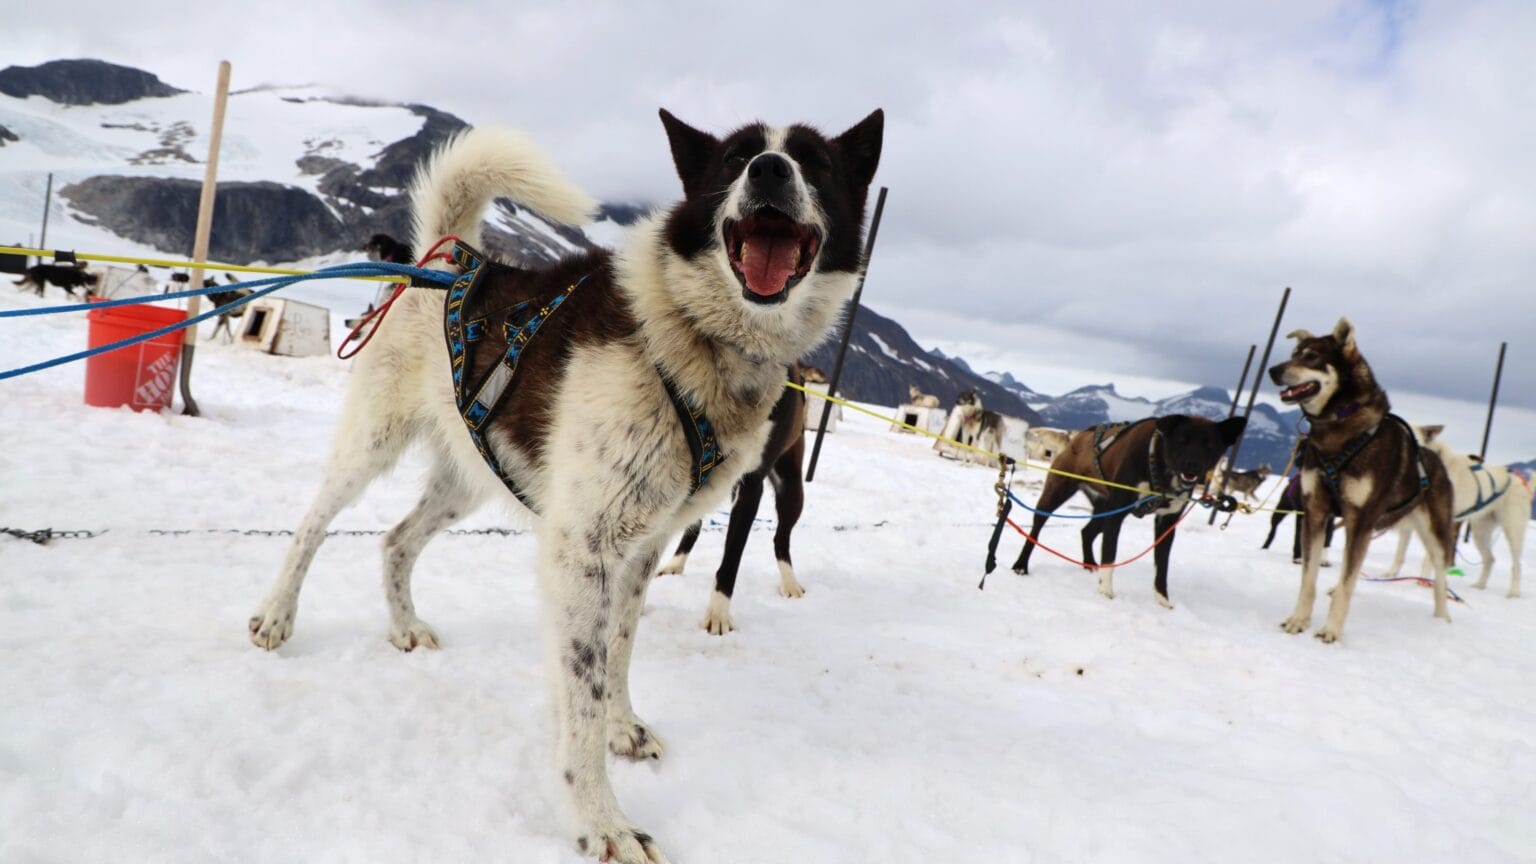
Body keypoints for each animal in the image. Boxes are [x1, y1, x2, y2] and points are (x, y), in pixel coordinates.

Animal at [657, 359, 811, 630]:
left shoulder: (751, 484)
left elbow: (732, 556)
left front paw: (717, 614)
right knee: (694, 526)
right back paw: (676, 563)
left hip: (791, 489)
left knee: (781, 538)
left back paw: (790, 582)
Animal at [1013, 412, 1241, 605]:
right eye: (1182, 440)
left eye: (1209, 444)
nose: (1193, 464)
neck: (1158, 466)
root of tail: (1080, 436)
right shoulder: (1117, 514)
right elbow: (1110, 553)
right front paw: (1106, 591)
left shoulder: (1167, 522)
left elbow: (1162, 565)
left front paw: (1162, 601)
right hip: (1058, 494)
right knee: (1036, 528)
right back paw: (1021, 565)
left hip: (1103, 511)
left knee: (1086, 532)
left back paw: (1089, 564)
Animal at [1265, 316, 1456, 639]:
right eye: (1293, 354)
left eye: (1311, 356)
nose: (1273, 370)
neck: (1339, 429)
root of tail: (1435, 459)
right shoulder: (1316, 513)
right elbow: (1309, 578)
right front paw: (1299, 620)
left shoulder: (1360, 519)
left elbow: (1347, 583)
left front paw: (1331, 631)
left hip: (1434, 534)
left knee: (1440, 580)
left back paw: (1442, 619)